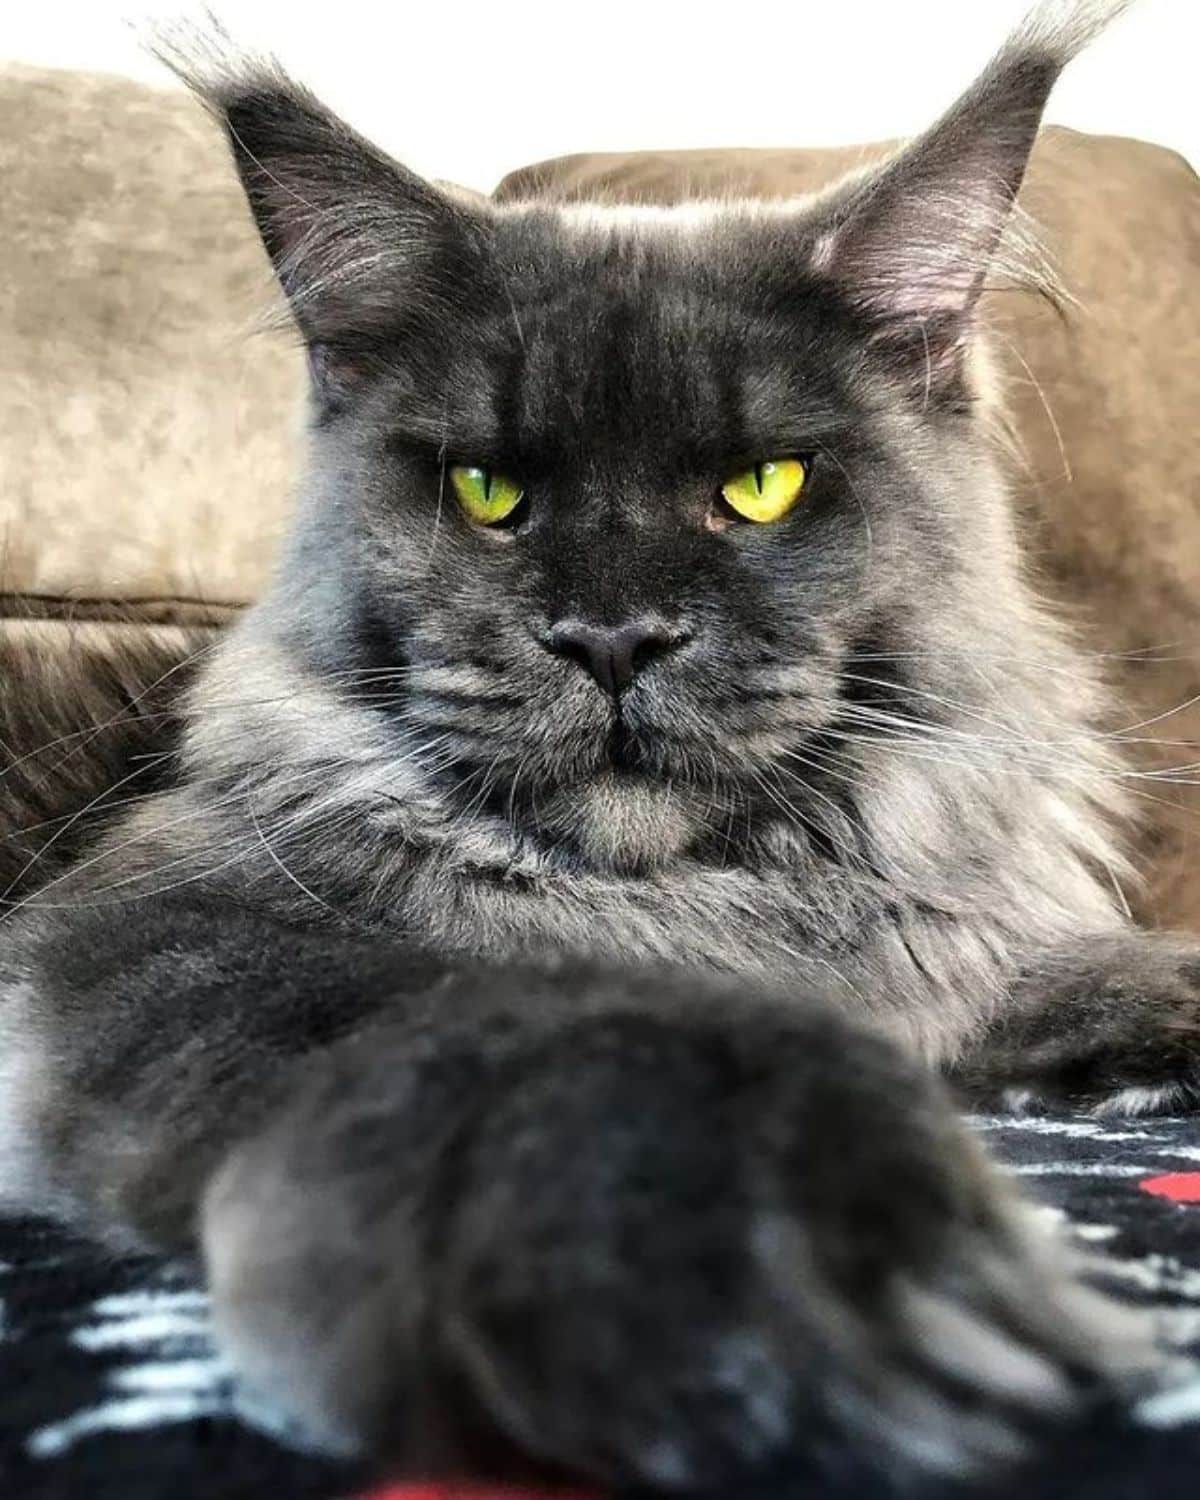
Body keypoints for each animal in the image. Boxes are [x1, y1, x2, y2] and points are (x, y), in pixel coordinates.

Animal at [2, 0, 1200, 1494]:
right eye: (487, 489)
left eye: (762, 485)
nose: (616, 637)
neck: (694, 907)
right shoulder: (161, 927)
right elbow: (474, 1018)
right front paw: (777, 1265)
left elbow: (1071, 969)